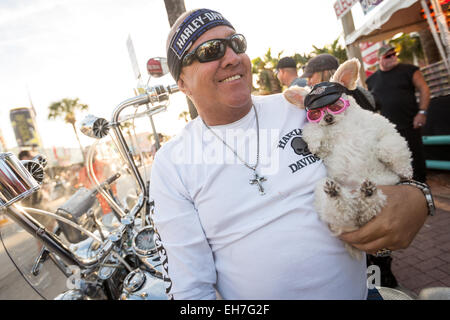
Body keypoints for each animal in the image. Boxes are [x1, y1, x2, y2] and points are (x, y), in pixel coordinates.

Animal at [284, 58, 412, 260]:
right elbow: (312, 131)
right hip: (325, 192)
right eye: (315, 113)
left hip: (382, 194)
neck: (342, 126)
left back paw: (368, 194)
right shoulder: (325, 147)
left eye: (335, 104)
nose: (328, 117)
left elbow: (389, 146)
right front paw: (314, 141)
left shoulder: (385, 129)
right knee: (345, 214)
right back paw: (340, 194)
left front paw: (405, 170)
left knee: (368, 211)